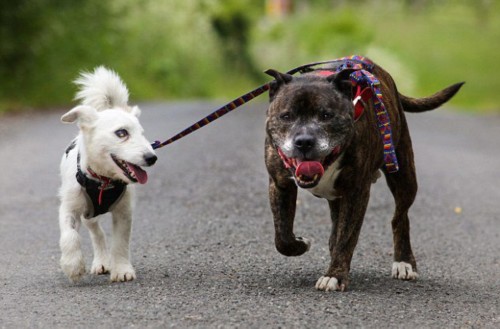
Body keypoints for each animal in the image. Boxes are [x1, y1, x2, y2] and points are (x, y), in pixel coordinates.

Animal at [58, 66, 156, 282]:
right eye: (121, 133)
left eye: (142, 133)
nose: (152, 157)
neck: (103, 180)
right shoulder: (69, 207)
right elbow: (69, 235)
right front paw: (73, 265)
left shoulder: (124, 212)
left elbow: (120, 242)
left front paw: (122, 270)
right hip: (89, 213)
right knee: (97, 233)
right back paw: (101, 262)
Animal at [264, 60, 462, 290]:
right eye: (286, 116)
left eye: (326, 115)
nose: (304, 141)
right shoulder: (279, 184)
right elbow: (282, 236)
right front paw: (301, 244)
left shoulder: (357, 191)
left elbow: (347, 237)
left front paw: (335, 275)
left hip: (403, 176)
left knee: (400, 218)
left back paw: (404, 262)